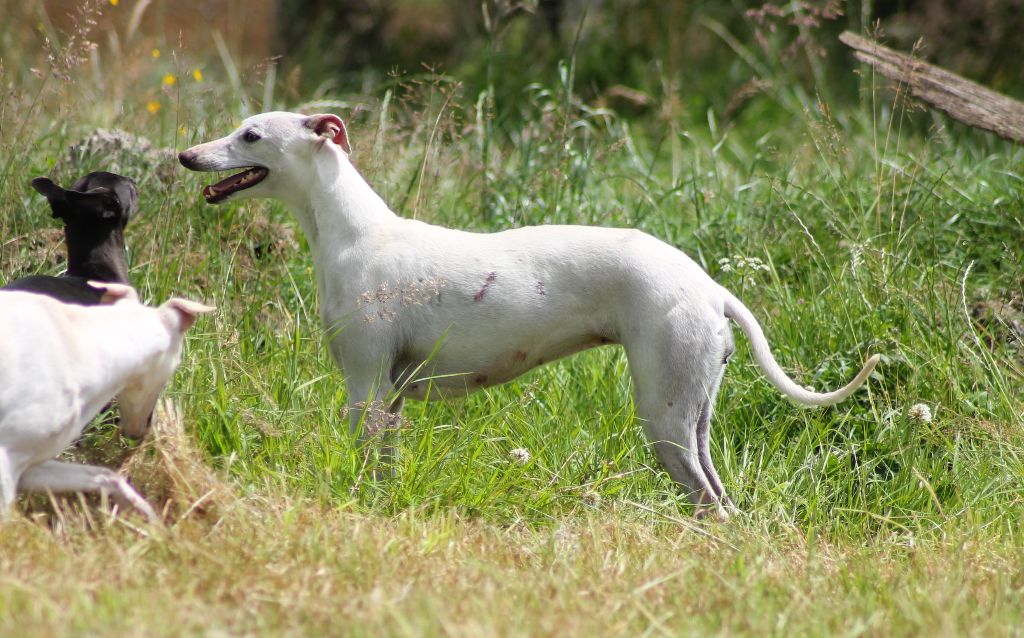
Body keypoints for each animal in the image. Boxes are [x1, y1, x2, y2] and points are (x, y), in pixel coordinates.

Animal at [178, 111, 880, 520]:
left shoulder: (365, 387)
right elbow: (385, 469)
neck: (356, 234)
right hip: (693, 416)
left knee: (714, 505)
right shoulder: (390, 396)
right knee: (720, 499)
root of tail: (709, 287)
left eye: (251, 135)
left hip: (664, 415)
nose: (185, 156)